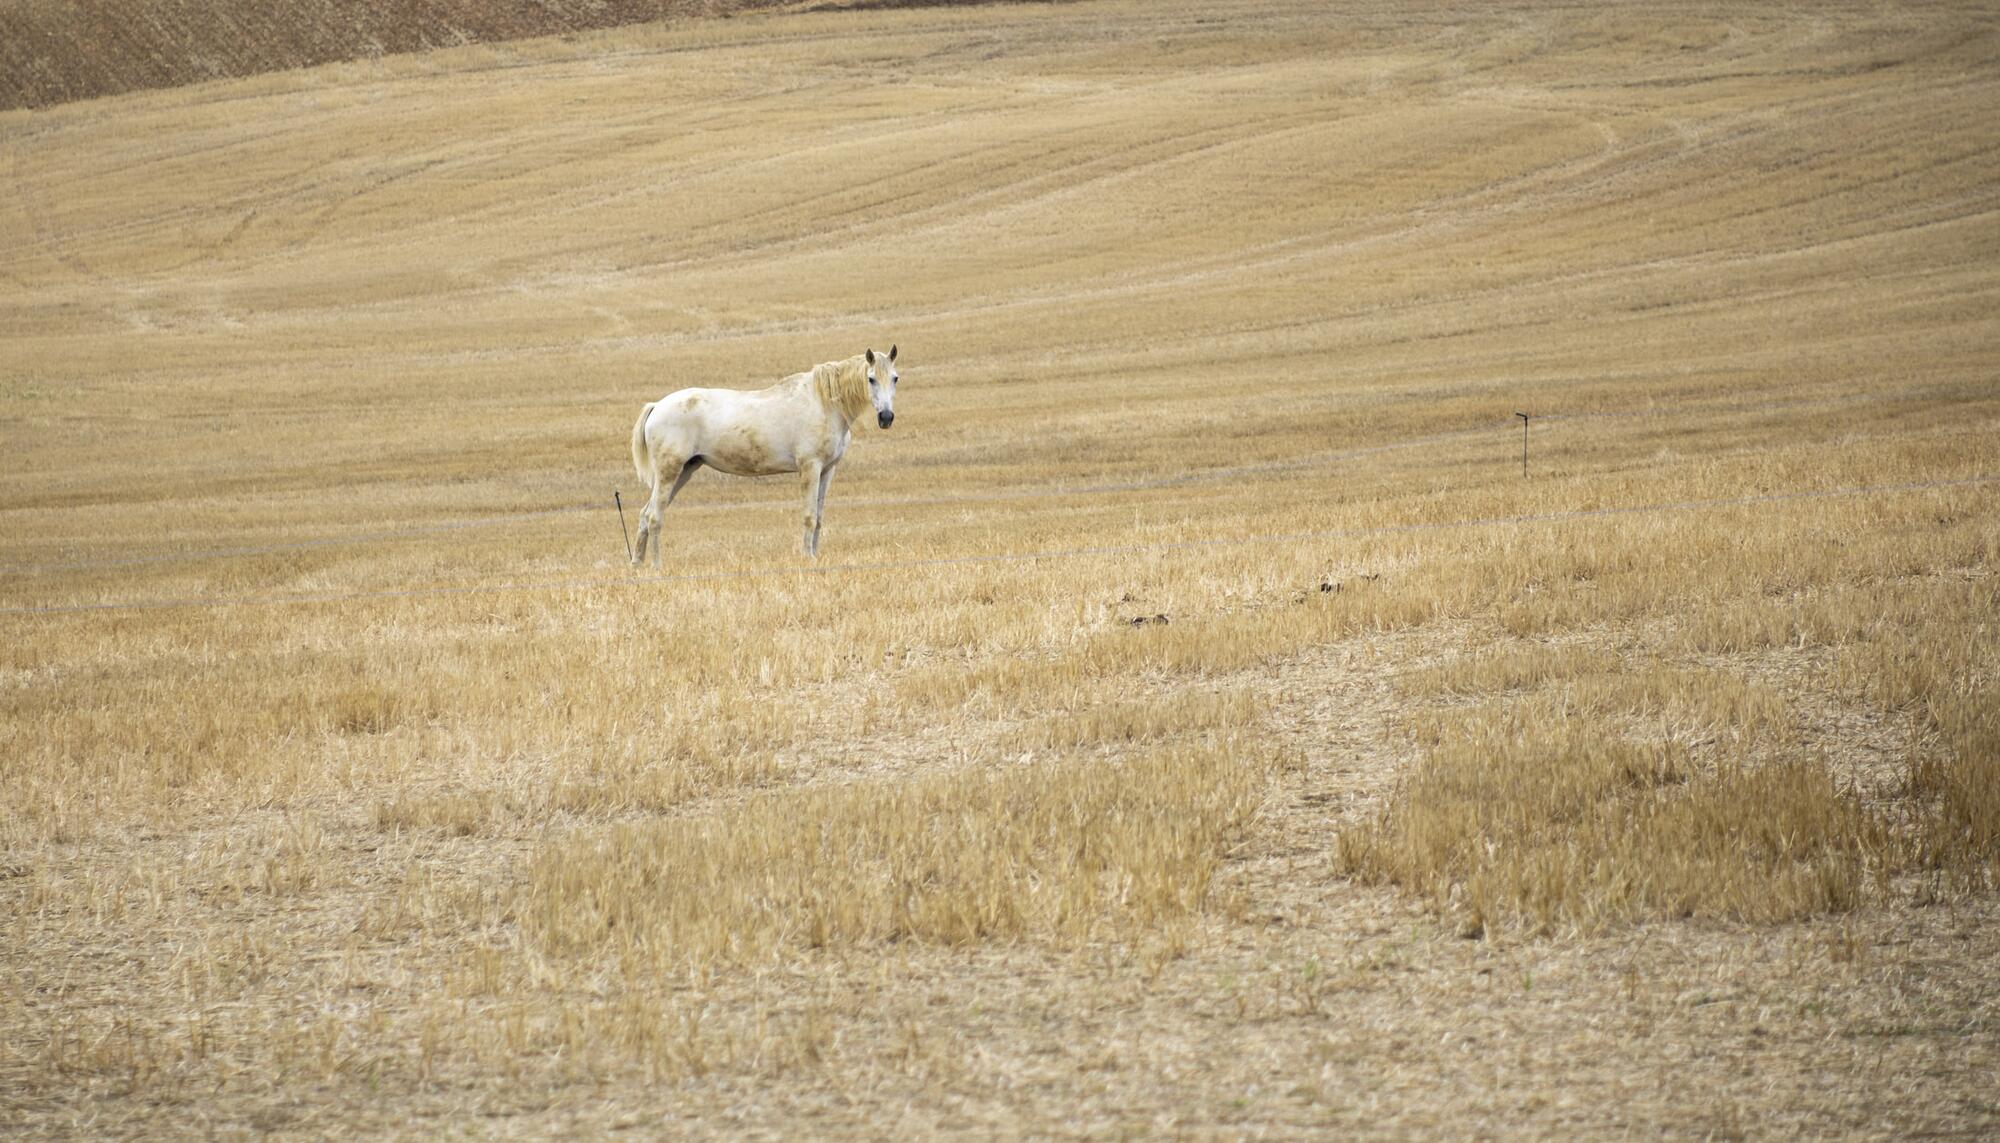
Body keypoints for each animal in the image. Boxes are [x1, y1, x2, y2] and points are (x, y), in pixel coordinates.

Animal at [628, 345, 904, 563]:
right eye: (871, 379)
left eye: (895, 378)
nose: (886, 417)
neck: (824, 403)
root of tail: (657, 406)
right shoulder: (810, 467)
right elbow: (808, 516)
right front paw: (807, 557)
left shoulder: (827, 470)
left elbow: (819, 517)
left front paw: (815, 555)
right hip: (669, 472)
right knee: (654, 517)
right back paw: (657, 565)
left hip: (685, 471)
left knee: (645, 514)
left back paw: (637, 564)